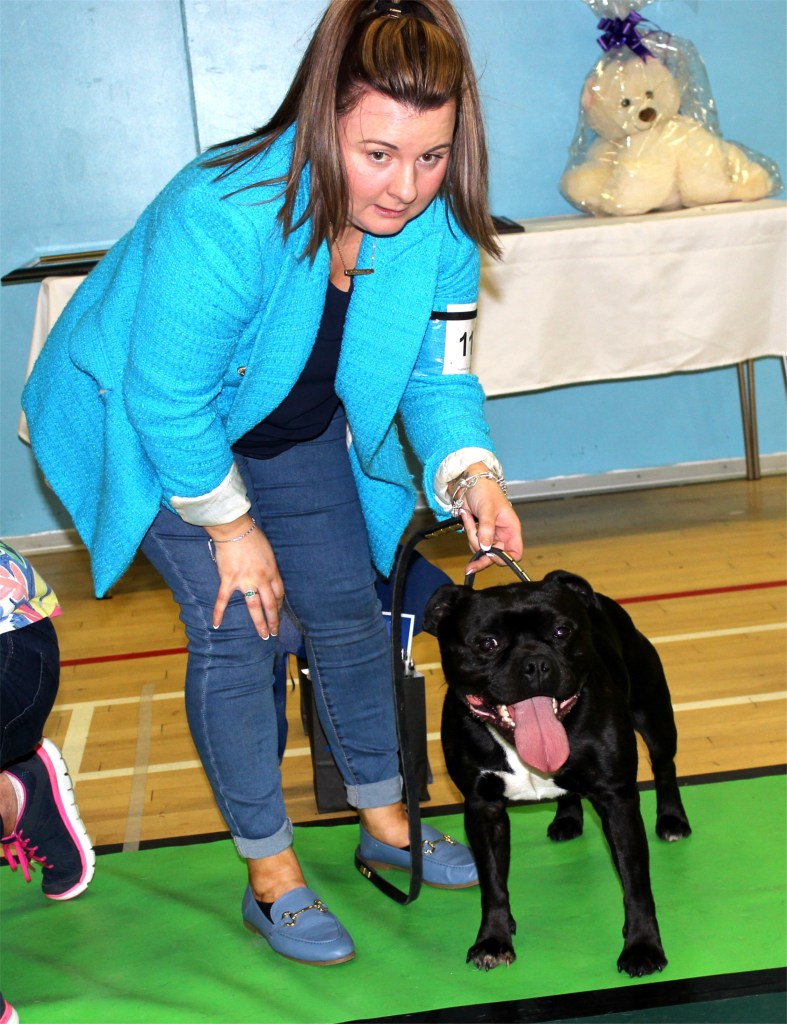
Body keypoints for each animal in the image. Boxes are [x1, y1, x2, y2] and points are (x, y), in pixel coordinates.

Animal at [423, 570, 691, 977]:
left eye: (562, 631)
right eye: (487, 642)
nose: (535, 663)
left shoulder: (617, 801)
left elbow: (636, 885)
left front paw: (642, 946)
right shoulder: (482, 807)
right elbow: (492, 883)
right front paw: (494, 939)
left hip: (655, 717)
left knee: (664, 765)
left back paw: (673, 820)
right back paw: (567, 819)